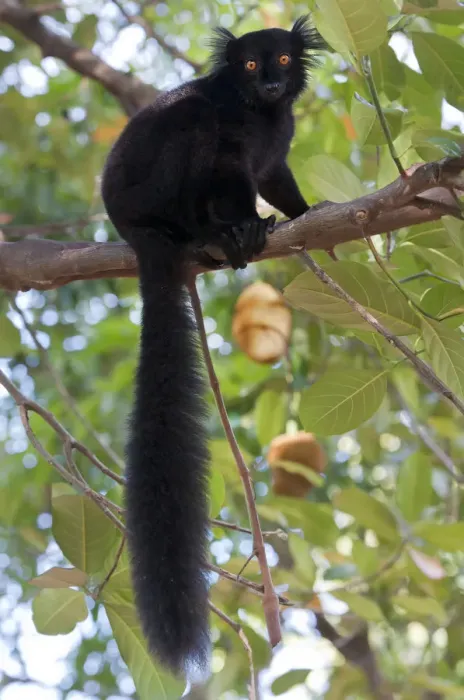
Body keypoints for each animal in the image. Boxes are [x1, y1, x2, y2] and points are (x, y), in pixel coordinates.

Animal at [101, 16, 324, 677]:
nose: (272, 81)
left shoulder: (280, 138)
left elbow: (275, 176)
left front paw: (311, 213)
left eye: (281, 58)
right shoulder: (231, 134)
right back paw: (212, 233)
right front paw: (245, 223)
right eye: (249, 65)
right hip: (151, 189)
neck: (261, 113)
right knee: (193, 124)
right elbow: (231, 172)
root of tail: (129, 227)